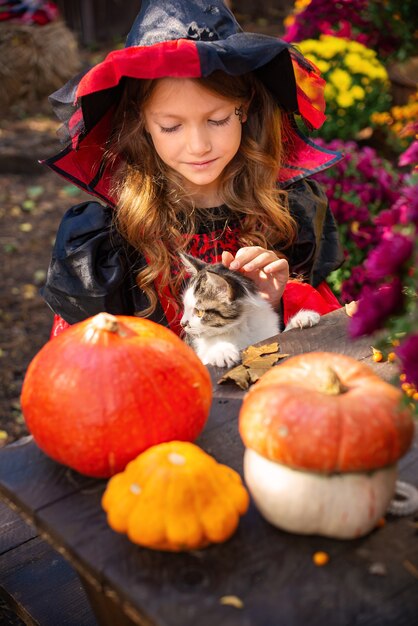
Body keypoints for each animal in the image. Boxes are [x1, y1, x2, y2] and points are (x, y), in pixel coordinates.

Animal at [180, 254, 320, 368]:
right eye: (185, 307)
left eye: (199, 312)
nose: (182, 323)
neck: (239, 327)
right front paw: (221, 351)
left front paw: (302, 318)